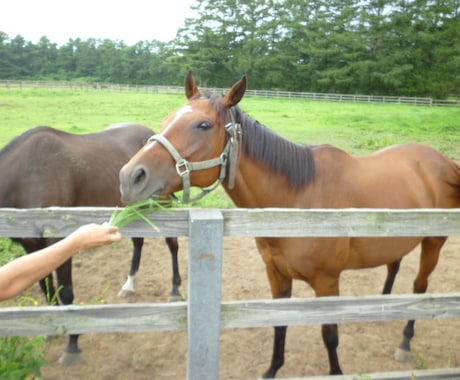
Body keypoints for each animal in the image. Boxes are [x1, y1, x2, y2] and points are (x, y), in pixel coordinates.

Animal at [0, 124, 182, 366]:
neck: (23, 176)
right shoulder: (32, 246)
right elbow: (46, 287)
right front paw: (50, 325)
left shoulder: (60, 241)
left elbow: (67, 293)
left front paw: (72, 343)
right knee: (138, 242)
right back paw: (129, 285)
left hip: (161, 203)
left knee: (172, 243)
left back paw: (175, 289)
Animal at [117, 72, 460, 378]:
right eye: (166, 120)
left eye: (203, 125)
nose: (130, 177)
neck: (299, 199)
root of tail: (445, 162)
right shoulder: (277, 274)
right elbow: (278, 323)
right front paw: (272, 370)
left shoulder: (327, 281)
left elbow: (329, 334)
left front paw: (336, 372)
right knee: (394, 266)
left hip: (434, 241)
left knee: (420, 287)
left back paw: (405, 342)